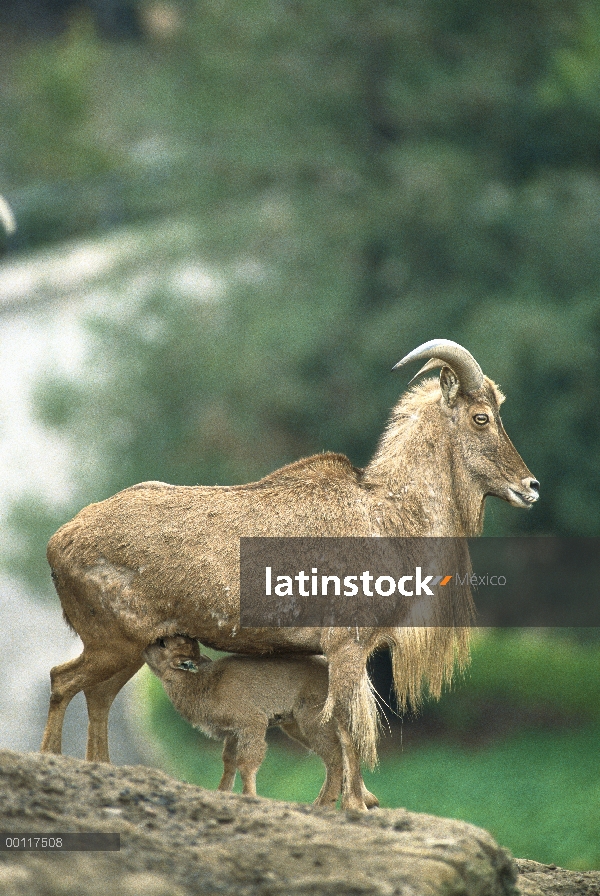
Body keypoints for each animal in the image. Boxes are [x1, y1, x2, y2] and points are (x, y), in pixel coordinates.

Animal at [142, 632, 378, 808]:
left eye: (162, 643)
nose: (145, 646)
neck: (206, 682)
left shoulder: (252, 723)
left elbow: (247, 761)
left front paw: (249, 795)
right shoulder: (232, 734)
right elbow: (229, 762)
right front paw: (222, 791)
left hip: (314, 723)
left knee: (335, 757)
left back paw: (324, 803)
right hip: (297, 727)